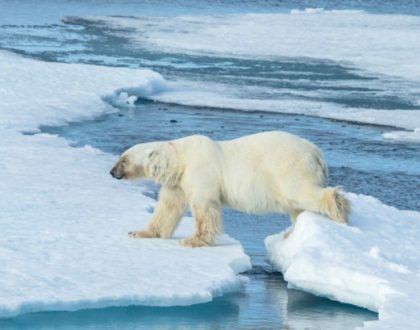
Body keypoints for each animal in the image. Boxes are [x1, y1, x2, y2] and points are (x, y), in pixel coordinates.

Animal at [110, 130, 348, 246]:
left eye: (124, 159)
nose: (112, 172)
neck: (181, 158)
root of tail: (317, 153)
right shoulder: (178, 182)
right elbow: (168, 208)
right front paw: (139, 232)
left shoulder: (200, 172)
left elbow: (204, 208)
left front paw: (193, 240)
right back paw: (291, 233)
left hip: (289, 167)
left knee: (300, 192)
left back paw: (338, 207)